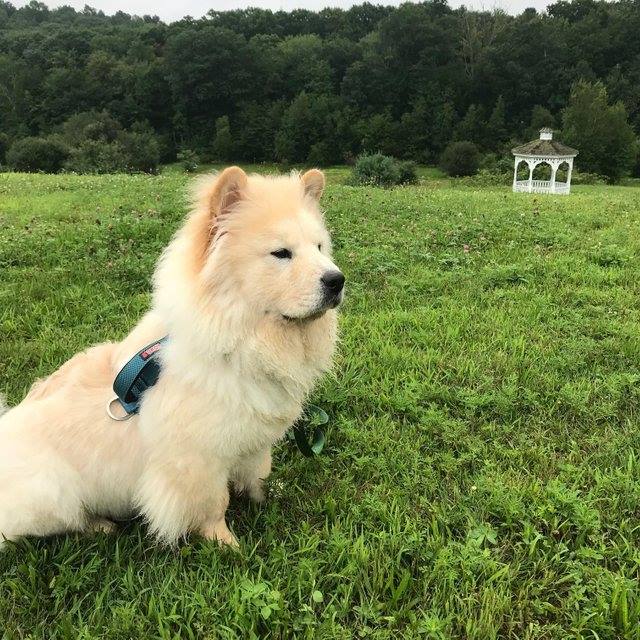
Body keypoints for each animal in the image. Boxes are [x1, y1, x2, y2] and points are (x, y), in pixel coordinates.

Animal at [0, 168, 344, 548]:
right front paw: (227, 544)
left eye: (319, 248)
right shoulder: (198, 460)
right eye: (281, 253)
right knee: (62, 523)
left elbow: (257, 475)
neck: (242, 342)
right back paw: (100, 525)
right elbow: (214, 504)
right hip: (52, 493)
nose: (337, 280)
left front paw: (269, 498)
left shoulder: (253, 443)